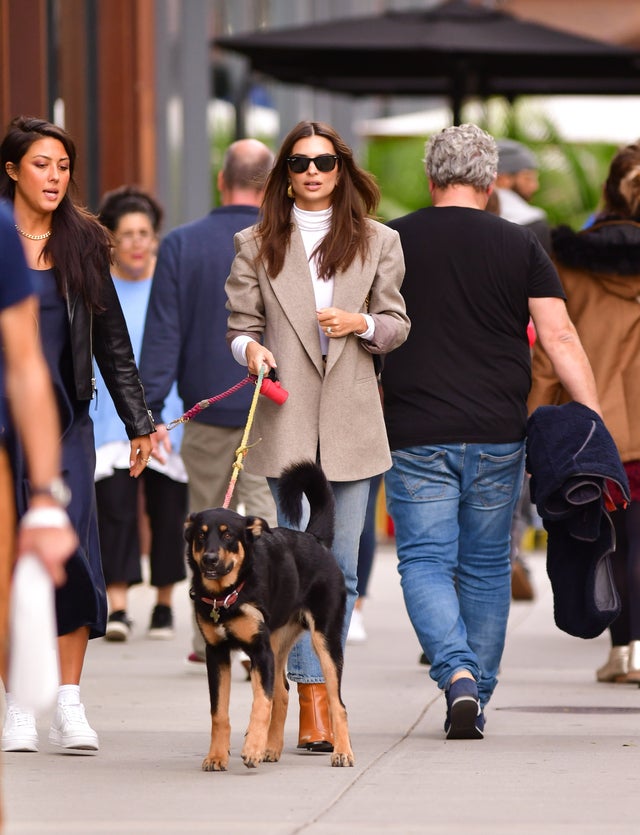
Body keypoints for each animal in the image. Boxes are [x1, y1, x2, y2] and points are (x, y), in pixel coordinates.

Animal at [184, 460, 356, 772]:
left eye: (228, 535)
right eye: (201, 535)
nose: (210, 559)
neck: (228, 595)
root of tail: (315, 539)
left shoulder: (259, 651)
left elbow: (260, 703)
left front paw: (252, 748)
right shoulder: (217, 654)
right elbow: (219, 712)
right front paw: (217, 755)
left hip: (324, 639)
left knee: (338, 703)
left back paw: (342, 752)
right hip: (278, 643)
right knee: (283, 692)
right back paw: (272, 748)